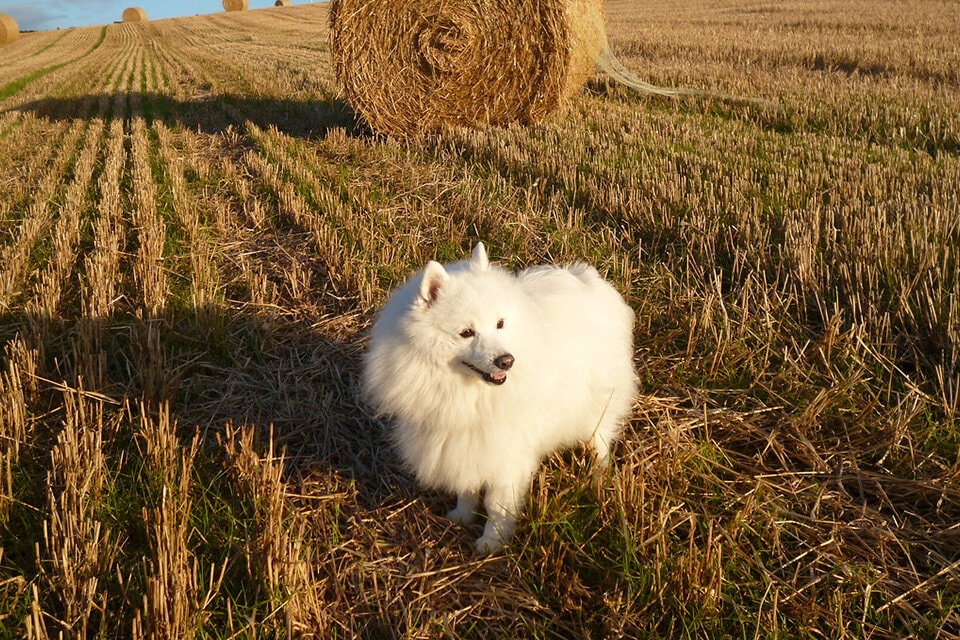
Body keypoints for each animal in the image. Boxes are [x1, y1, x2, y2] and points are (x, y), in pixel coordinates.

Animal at [360, 242, 636, 552]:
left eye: (500, 324)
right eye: (466, 332)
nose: (507, 361)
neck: (466, 390)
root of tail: (586, 279)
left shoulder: (506, 453)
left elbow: (498, 504)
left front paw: (493, 541)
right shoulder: (464, 443)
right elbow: (467, 486)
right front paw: (463, 515)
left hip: (598, 406)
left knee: (600, 442)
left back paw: (598, 479)